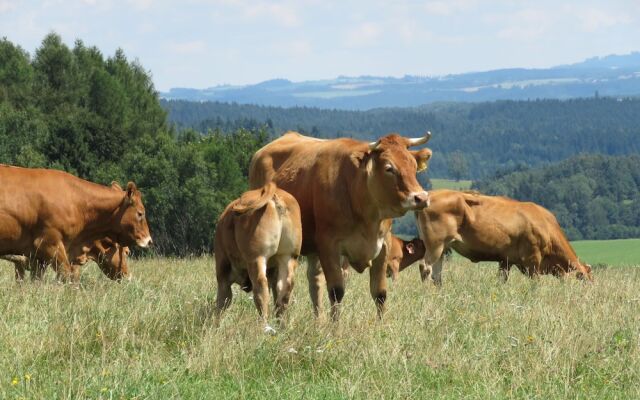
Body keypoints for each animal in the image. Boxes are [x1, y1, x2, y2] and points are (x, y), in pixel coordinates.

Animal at [215, 181, 302, 332]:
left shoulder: (222, 271)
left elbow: (223, 301)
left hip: (257, 258)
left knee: (261, 288)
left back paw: (263, 326)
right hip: (289, 256)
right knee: (284, 289)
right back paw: (281, 326)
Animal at [248, 131, 432, 318]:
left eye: (414, 166)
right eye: (389, 168)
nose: (421, 197)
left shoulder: (384, 246)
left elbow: (380, 293)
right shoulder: (328, 246)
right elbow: (336, 292)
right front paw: (334, 326)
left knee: (314, 282)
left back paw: (318, 321)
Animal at [416, 190, 596, 284]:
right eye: (584, 282)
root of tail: (430, 194)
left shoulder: (506, 260)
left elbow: (501, 280)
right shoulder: (533, 259)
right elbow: (535, 284)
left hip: (442, 248)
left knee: (437, 274)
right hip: (435, 244)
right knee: (425, 267)